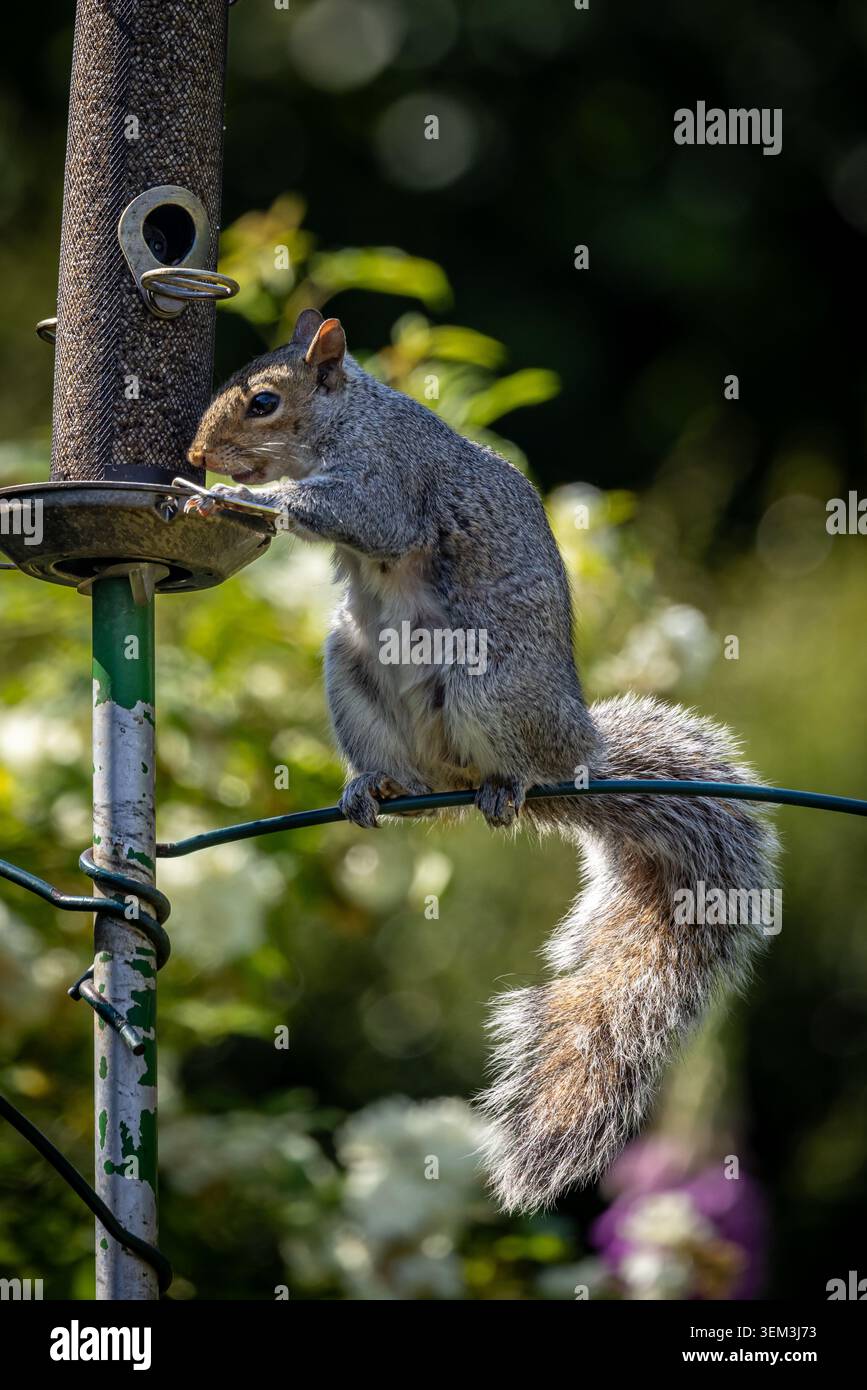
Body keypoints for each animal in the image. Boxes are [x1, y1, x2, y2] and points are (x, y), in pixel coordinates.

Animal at [186, 308, 779, 1212]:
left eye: (263, 402)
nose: (195, 456)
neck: (348, 419)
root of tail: (576, 752)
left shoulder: (390, 478)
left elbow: (366, 513)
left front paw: (243, 498)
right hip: (351, 673)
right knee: (411, 773)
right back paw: (371, 786)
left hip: (488, 687)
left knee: (509, 768)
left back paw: (506, 786)